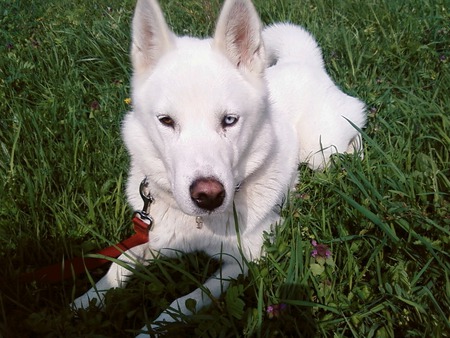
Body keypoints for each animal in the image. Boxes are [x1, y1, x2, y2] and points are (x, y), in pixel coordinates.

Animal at [72, 0, 364, 334]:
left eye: (229, 120)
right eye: (166, 121)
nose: (208, 196)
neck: (199, 225)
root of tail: (302, 61)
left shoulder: (244, 260)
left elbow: (183, 302)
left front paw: (149, 332)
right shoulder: (153, 236)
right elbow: (118, 264)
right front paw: (85, 301)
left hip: (321, 151)